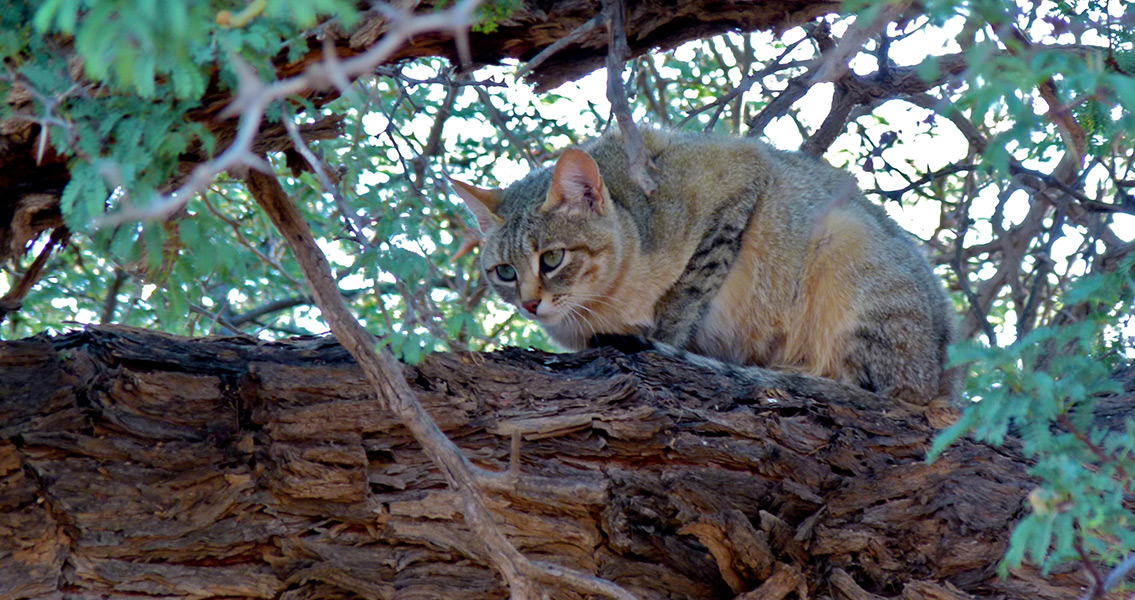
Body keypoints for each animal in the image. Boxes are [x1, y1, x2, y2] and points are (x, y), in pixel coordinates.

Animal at [451, 128, 957, 403]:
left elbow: (689, 288)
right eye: (505, 272)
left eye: (552, 258)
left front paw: (663, 337)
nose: (529, 305)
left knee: (877, 392)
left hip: (847, 236)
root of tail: (943, 377)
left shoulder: (740, 176)